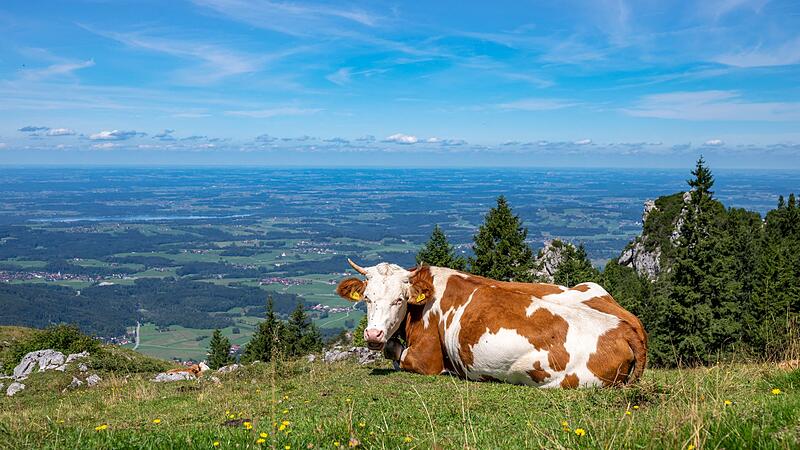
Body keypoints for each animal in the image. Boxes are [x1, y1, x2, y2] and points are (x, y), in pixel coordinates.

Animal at [337, 259, 647, 388]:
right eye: (367, 298)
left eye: (399, 300)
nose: (373, 334)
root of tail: (626, 326)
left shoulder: (426, 360)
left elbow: (394, 353)